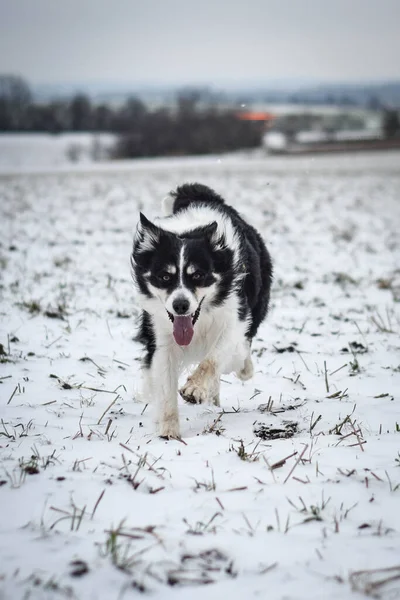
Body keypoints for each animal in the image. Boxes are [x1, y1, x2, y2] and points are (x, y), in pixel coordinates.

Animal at [130, 180, 272, 438]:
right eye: (164, 276)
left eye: (197, 275)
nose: (180, 305)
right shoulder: (161, 334)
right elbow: (164, 382)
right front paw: (169, 431)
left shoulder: (234, 318)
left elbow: (214, 359)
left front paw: (195, 389)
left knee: (241, 352)